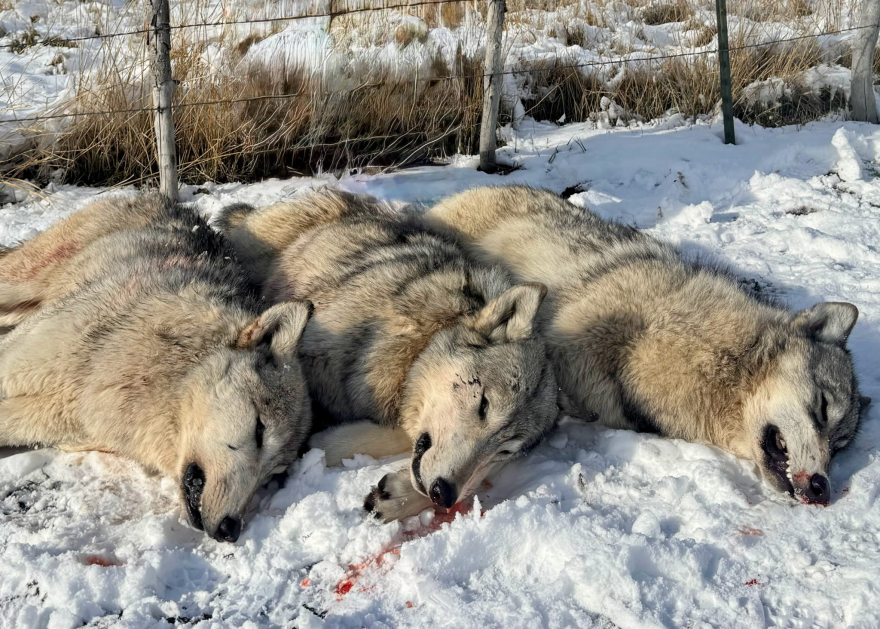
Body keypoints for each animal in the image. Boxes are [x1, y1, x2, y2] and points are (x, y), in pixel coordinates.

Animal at [215, 189, 558, 521]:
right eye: (484, 405)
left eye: (505, 451)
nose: (444, 494)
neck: (411, 355)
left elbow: (408, 442)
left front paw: (396, 496)